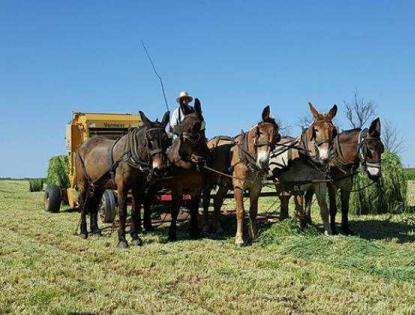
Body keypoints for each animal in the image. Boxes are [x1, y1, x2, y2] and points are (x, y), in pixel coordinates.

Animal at [75, 112, 171, 248]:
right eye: (149, 140)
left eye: (166, 139)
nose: (160, 169)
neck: (131, 155)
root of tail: (82, 146)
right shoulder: (122, 187)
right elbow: (122, 212)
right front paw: (122, 239)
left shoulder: (138, 187)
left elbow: (135, 211)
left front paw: (135, 237)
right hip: (83, 183)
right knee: (84, 204)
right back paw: (84, 231)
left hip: (99, 185)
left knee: (94, 204)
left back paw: (96, 230)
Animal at [143, 99, 210, 242]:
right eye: (182, 123)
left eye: (196, 124)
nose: (182, 153)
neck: (192, 162)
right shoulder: (177, 187)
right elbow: (174, 209)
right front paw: (172, 233)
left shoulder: (197, 188)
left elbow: (194, 208)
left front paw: (194, 231)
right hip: (152, 183)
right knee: (146, 200)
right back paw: (146, 225)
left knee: (148, 200)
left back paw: (148, 225)